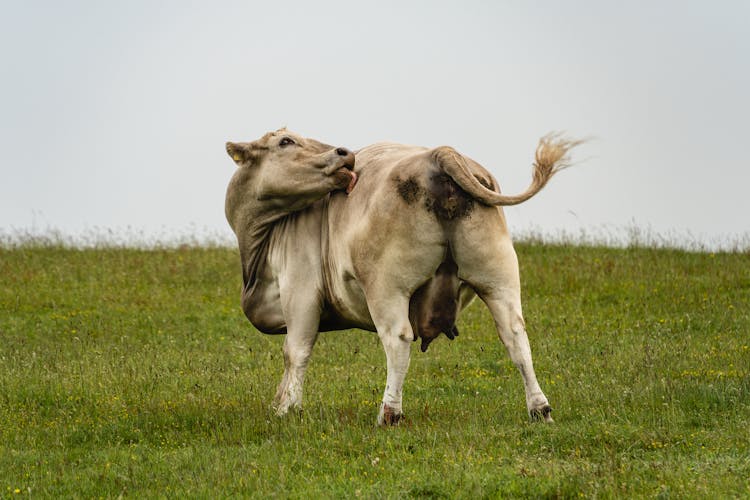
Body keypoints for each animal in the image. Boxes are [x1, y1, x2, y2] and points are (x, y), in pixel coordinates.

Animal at [225, 129, 580, 426]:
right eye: (285, 141)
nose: (345, 152)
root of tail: (438, 153)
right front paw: (279, 402)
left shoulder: (301, 289)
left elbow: (295, 351)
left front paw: (287, 408)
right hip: (498, 273)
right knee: (515, 335)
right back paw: (540, 409)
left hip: (385, 285)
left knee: (397, 340)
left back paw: (389, 413)